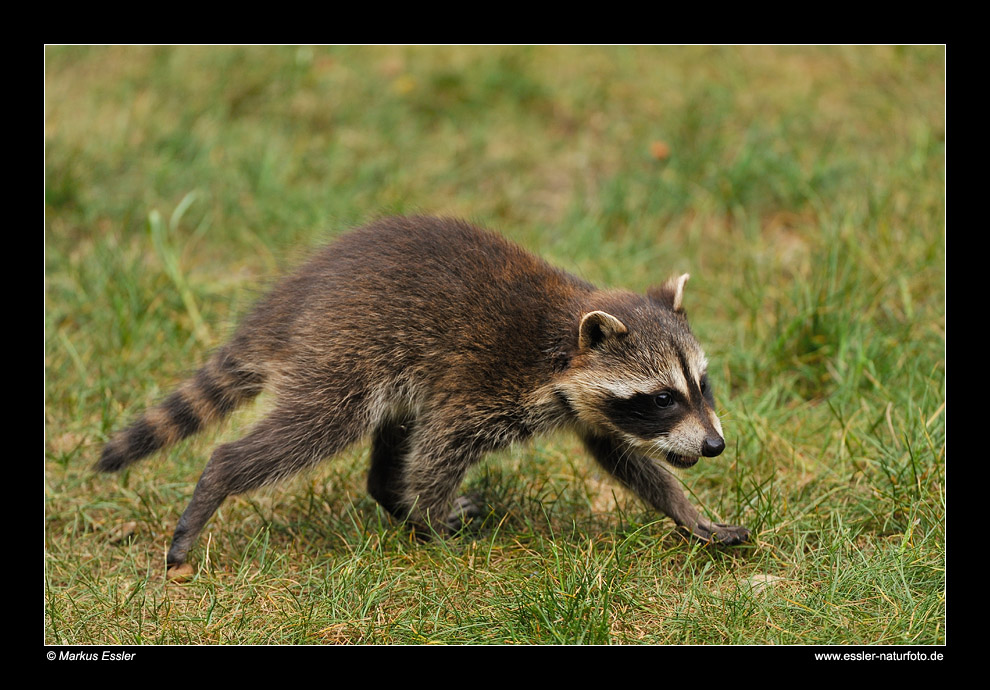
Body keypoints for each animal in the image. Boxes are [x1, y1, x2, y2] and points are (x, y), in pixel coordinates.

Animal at [99, 216, 752, 576]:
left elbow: (624, 460)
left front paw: (691, 514)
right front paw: (435, 521)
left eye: (700, 384)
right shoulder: (486, 381)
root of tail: (292, 299)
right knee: (316, 427)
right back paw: (224, 477)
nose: (715, 446)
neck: (564, 338)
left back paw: (390, 499)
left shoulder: (588, 408)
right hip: (349, 349)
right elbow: (440, 450)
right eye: (663, 398)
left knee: (392, 433)